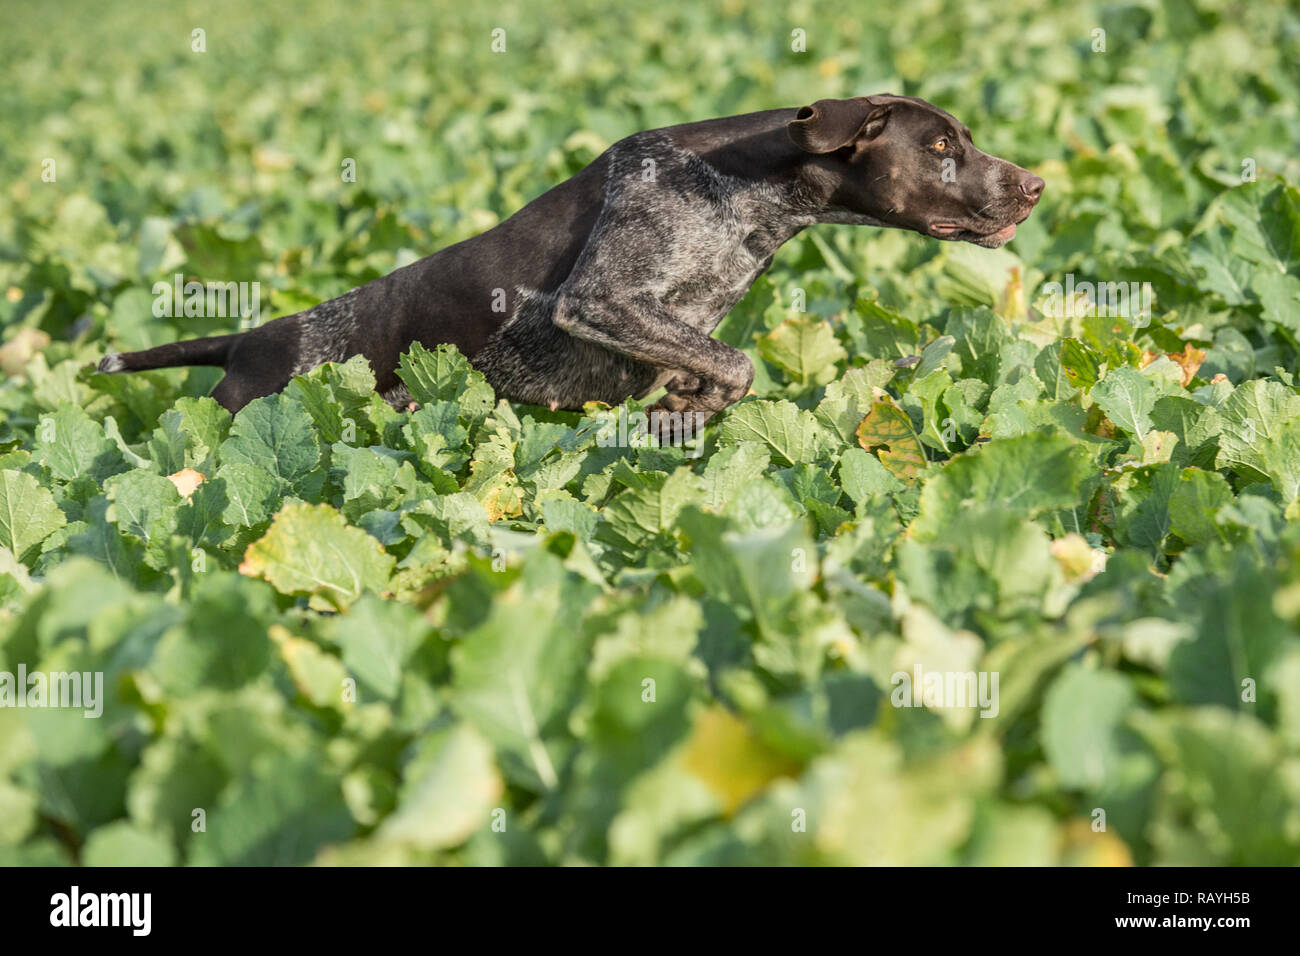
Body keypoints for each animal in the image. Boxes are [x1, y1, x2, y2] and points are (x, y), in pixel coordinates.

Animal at [96, 93, 1040, 434]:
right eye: (943, 146)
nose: (1033, 185)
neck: (747, 190)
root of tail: (247, 341)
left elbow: (715, 364)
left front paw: (685, 409)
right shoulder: (601, 300)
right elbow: (734, 362)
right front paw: (691, 406)